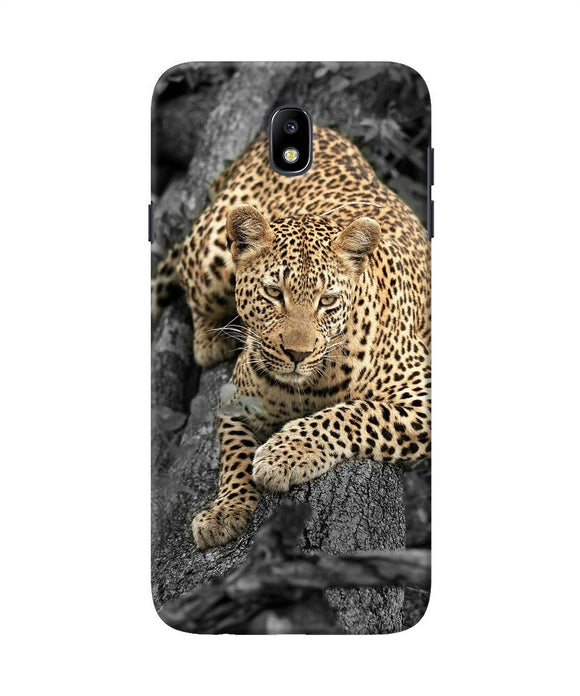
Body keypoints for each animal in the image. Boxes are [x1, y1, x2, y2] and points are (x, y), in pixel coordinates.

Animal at [152, 125, 431, 550]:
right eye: (273, 293)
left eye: (327, 300)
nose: (296, 354)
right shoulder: (235, 401)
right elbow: (234, 455)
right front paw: (225, 511)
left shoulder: (423, 395)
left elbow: (354, 413)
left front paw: (283, 454)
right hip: (211, 252)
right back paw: (210, 340)